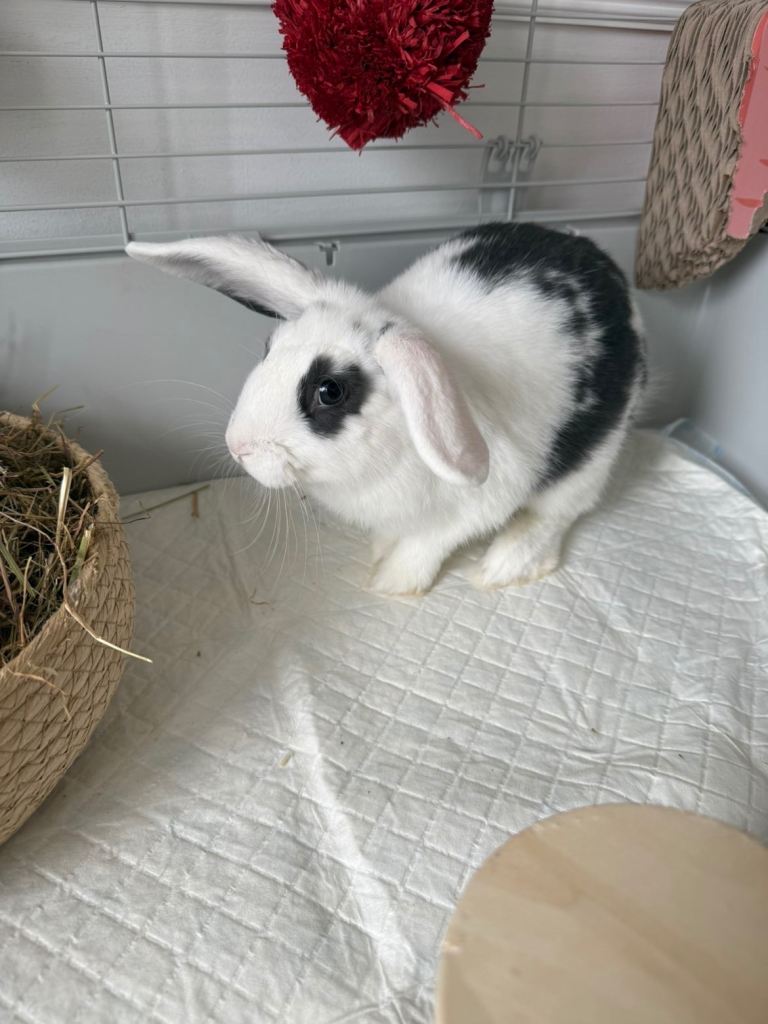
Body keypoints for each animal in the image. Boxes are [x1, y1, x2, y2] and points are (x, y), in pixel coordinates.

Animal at [126, 221, 646, 596]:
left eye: (330, 391)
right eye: (269, 346)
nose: (238, 447)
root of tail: (609, 267)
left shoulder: (472, 507)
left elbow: (425, 546)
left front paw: (389, 583)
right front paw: (379, 551)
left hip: (593, 458)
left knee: (556, 513)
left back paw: (503, 567)